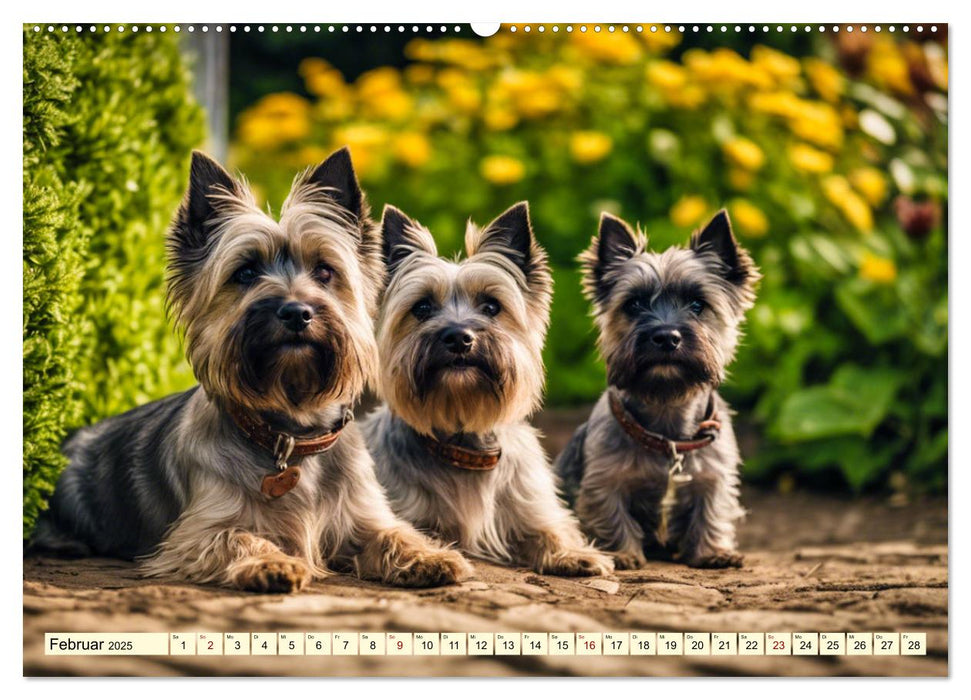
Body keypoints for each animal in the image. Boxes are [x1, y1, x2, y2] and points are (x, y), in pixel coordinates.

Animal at [30, 148, 470, 592]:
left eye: (325, 270)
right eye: (244, 273)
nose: (296, 312)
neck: (292, 437)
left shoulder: (364, 514)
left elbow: (395, 532)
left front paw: (429, 556)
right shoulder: (197, 530)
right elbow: (238, 536)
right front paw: (273, 562)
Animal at [360, 200, 612, 576]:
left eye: (492, 306)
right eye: (422, 307)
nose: (458, 337)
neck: (464, 444)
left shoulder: (530, 503)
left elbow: (550, 528)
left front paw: (574, 552)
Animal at [560, 208, 764, 568]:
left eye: (697, 304)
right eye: (634, 304)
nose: (667, 336)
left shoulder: (714, 478)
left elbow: (712, 511)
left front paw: (712, 552)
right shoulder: (604, 481)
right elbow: (611, 514)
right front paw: (622, 553)